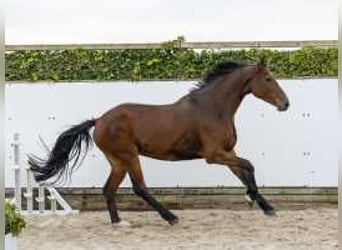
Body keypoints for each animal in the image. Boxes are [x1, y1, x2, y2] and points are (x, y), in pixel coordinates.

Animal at [29, 57, 288, 226]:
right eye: (268, 78)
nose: (285, 104)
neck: (212, 109)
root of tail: (99, 120)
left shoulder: (228, 152)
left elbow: (243, 172)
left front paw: (266, 207)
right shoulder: (214, 155)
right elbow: (249, 166)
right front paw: (255, 199)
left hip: (117, 161)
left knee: (108, 189)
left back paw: (118, 222)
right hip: (129, 156)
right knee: (139, 187)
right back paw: (171, 218)